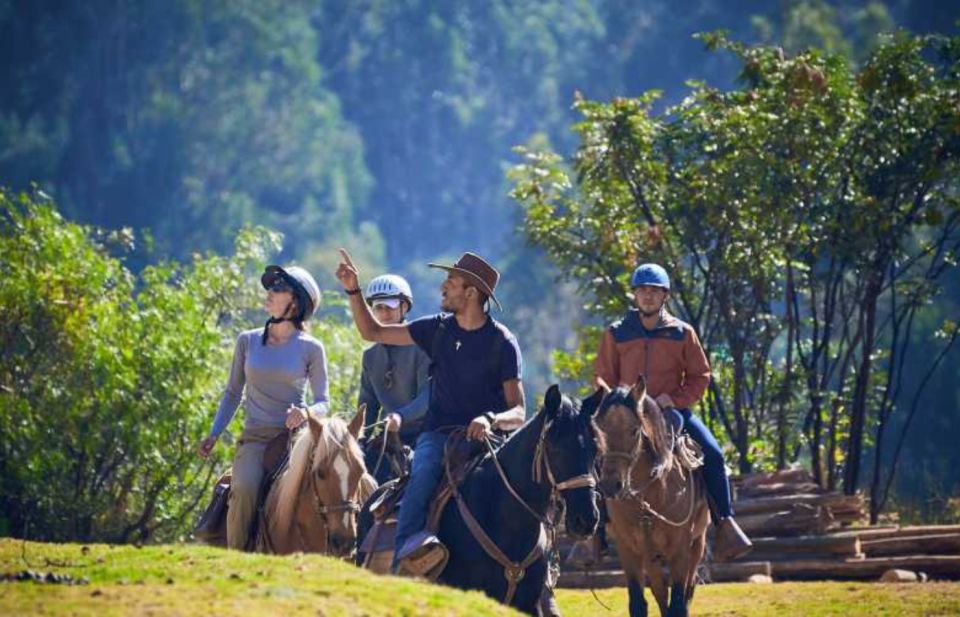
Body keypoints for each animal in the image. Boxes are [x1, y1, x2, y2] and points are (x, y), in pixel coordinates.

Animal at [592, 376, 712, 616]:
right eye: (599, 430)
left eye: (634, 430)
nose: (610, 486)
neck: (650, 496)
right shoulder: (628, 549)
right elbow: (639, 603)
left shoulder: (680, 551)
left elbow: (679, 603)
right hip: (652, 558)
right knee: (660, 592)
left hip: (698, 543)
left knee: (688, 589)